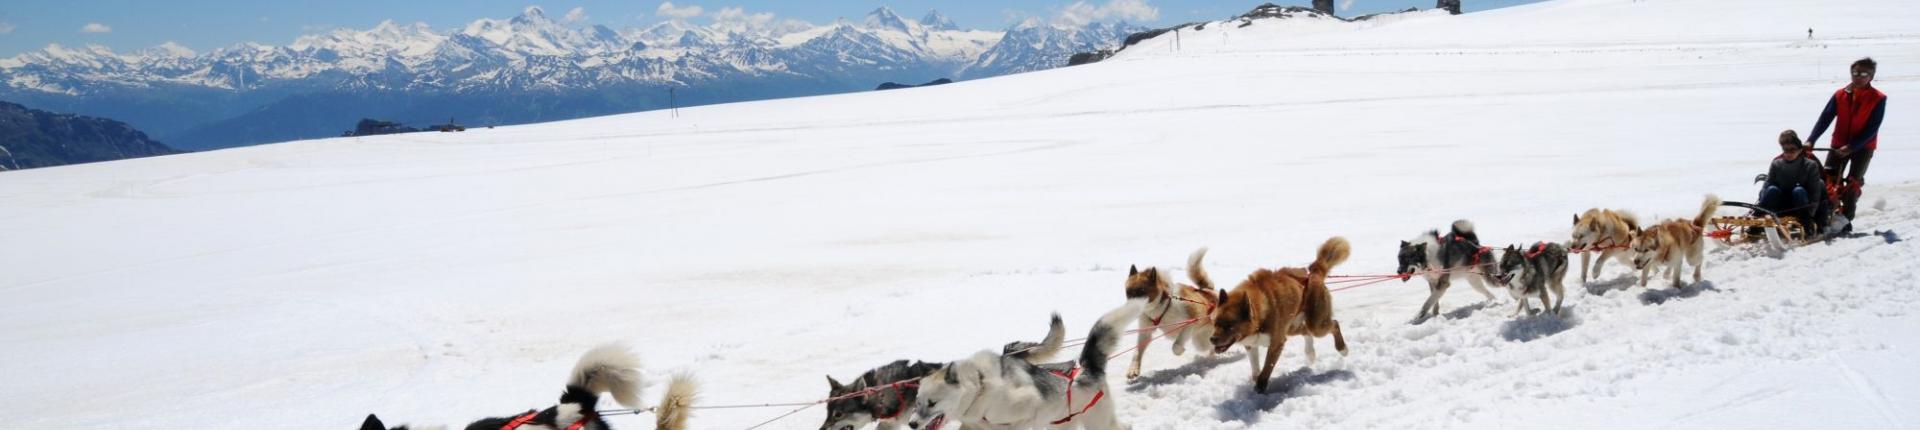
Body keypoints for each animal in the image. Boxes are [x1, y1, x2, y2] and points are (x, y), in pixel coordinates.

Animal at [1121, 249, 1213, 380]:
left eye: (1141, 291)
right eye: (1128, 292)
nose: (1129, 308)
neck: (1162, 307)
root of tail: (1208, 292)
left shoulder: (1190, 322)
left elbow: (1176, 346)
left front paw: (1180, 350)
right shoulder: (1145, 332)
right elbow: (1137, 352)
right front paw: (1133, 369)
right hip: (1201, 341)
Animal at [1198, 237, 1351, 395]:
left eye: (1230, 326)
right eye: (1215, 323)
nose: (1212, 339)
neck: (1261, 314)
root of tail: (1314, 273)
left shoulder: (1277, 343)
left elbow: (1266, 369)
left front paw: (1260, 387)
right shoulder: (1251, 344)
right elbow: (1255, 369)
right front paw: (1255, 380)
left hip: (1316, 325)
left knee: (1333, 324)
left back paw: (1342, 348)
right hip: (1291, 328)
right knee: (1305, 331)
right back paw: (1310, 354)